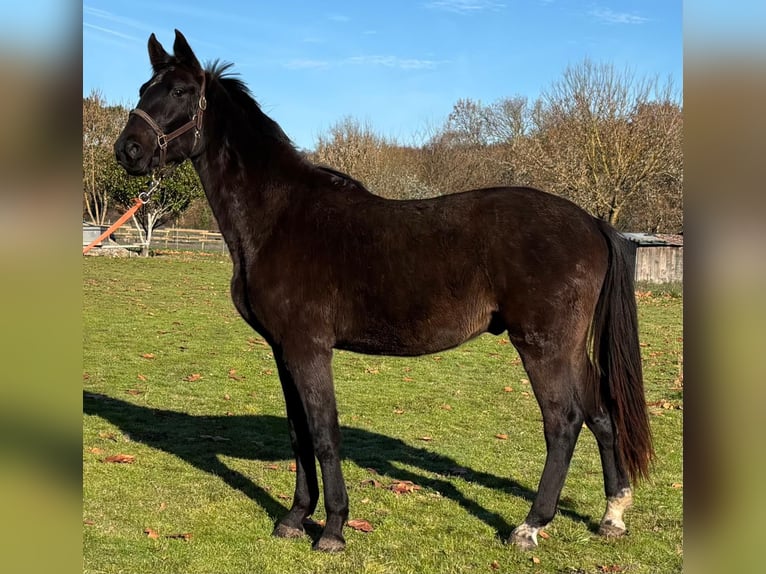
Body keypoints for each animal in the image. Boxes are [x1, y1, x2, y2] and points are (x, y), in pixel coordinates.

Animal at [114, 30, 652, 553]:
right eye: (144, 88)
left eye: (180, 92)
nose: (128, 150)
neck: (278, 218)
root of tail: (591, 222)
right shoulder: (282, 350)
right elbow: (298, 434)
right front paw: (294, 518)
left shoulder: (309, 349)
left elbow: (325, 434)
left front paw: (333, 530)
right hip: (569, 348)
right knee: (601, 414)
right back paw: (612, 515)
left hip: (543, 347)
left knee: (563, 423)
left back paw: (530, 526)